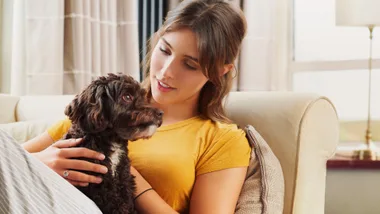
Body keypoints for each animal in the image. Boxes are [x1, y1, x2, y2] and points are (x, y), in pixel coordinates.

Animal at [62, 72, 163, 214]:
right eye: (127, 96)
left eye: (143, 95)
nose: (160, 113)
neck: (112, 140)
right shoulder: (102, 187)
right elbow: (118, 207)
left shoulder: (124, 179)